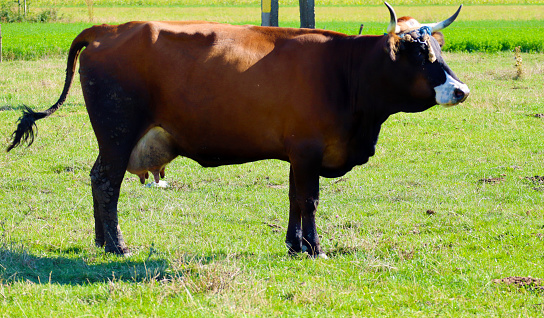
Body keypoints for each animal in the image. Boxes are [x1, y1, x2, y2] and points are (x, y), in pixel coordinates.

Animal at [7, 3, 468, 258]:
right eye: (419, 52)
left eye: (438, 47)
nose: (461, 89)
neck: (345, 71)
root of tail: (109, 28)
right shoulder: (309, 151)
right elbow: (309, 200)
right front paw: (315, 249)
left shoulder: (298, 155)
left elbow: (294, 199)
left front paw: (295, 245)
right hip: (118, 133)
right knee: (107, 182)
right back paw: (117, 245)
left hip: (113, 139)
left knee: (96, 178)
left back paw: (102, 242)